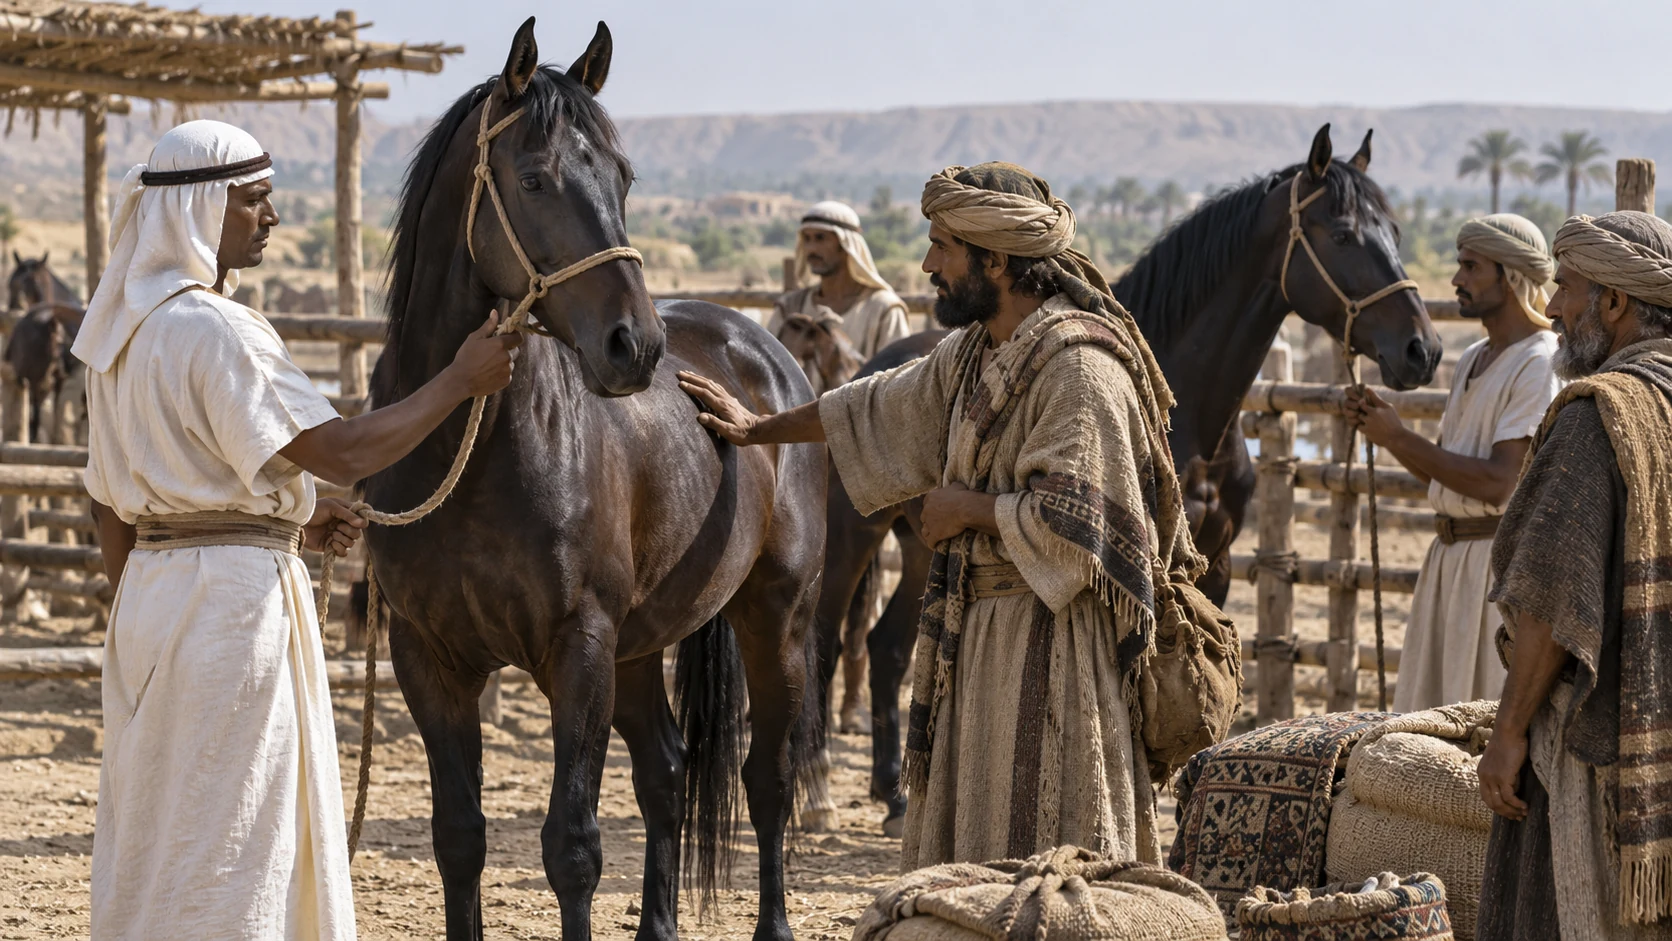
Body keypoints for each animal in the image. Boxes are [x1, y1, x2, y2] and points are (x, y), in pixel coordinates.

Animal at [361, 19, 824, 941]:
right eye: (534, 178)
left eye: (621, 175)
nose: (633, 346)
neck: (469, 451)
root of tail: (765, 349)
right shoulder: (428, 657)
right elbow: (458, 837)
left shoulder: (579, 651)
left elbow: (571, 846)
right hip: (641, 647)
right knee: (667, 773)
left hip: (775, 620)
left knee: (767, 781)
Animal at [811, 124, 1442, 836]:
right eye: (1342, 234)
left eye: (1394, 228)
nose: (1422, 350)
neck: (1198, 420)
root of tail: (866, 366)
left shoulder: (1215, 563)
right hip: (850, 540)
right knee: (825, 643)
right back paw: (820, 794)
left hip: (922, 551)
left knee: (888, 647)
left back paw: (892, 797)